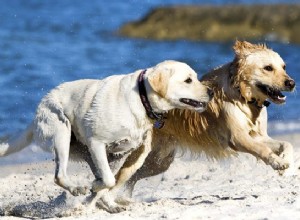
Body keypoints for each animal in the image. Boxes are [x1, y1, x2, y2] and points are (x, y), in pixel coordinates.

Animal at [0, 61, 211, 212]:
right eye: (188, 80)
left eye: (195, 78)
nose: (210, 91)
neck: (142, 98)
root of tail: (36, 114)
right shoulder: (97, 143)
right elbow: (109, 180)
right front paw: (94, 186)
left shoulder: (122, 152)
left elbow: (110, 181)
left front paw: (98, 190)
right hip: (61, 131)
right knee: (60, 176)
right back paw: (78, 189)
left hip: (93, 153)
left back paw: (105, 203)